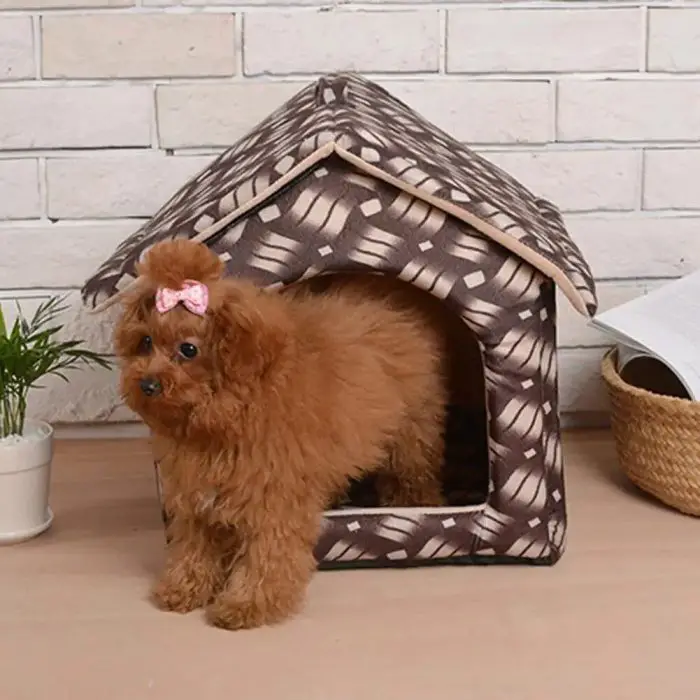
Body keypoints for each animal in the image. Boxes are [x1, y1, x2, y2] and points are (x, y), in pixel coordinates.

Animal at [112, 241, 446, 628]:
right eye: (146, 342)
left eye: (189, 349)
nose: (147, 384)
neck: (220, 421)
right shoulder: (197, 493)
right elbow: (195, 545)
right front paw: (183, 588)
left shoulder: (274, 497)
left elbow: (267, 554)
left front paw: (247, 604)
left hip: (412, 432)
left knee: (413, 472)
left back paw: (417, 504)